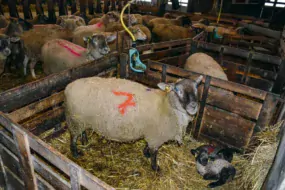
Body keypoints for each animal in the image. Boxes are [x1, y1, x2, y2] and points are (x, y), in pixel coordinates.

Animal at [64, 75, 202, 171]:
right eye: (178, 90)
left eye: (196, 89)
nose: (193, 106)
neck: (167, 105)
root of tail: (68, 87)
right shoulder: (156, 136)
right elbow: (154, 153)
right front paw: (155, 167)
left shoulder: (151, 133)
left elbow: (148, 146)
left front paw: (146, 153)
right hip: (75, 119)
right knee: (73, 137)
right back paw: (76, 153)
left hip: (82, 119)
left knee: (82, 131)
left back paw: (85, 141)